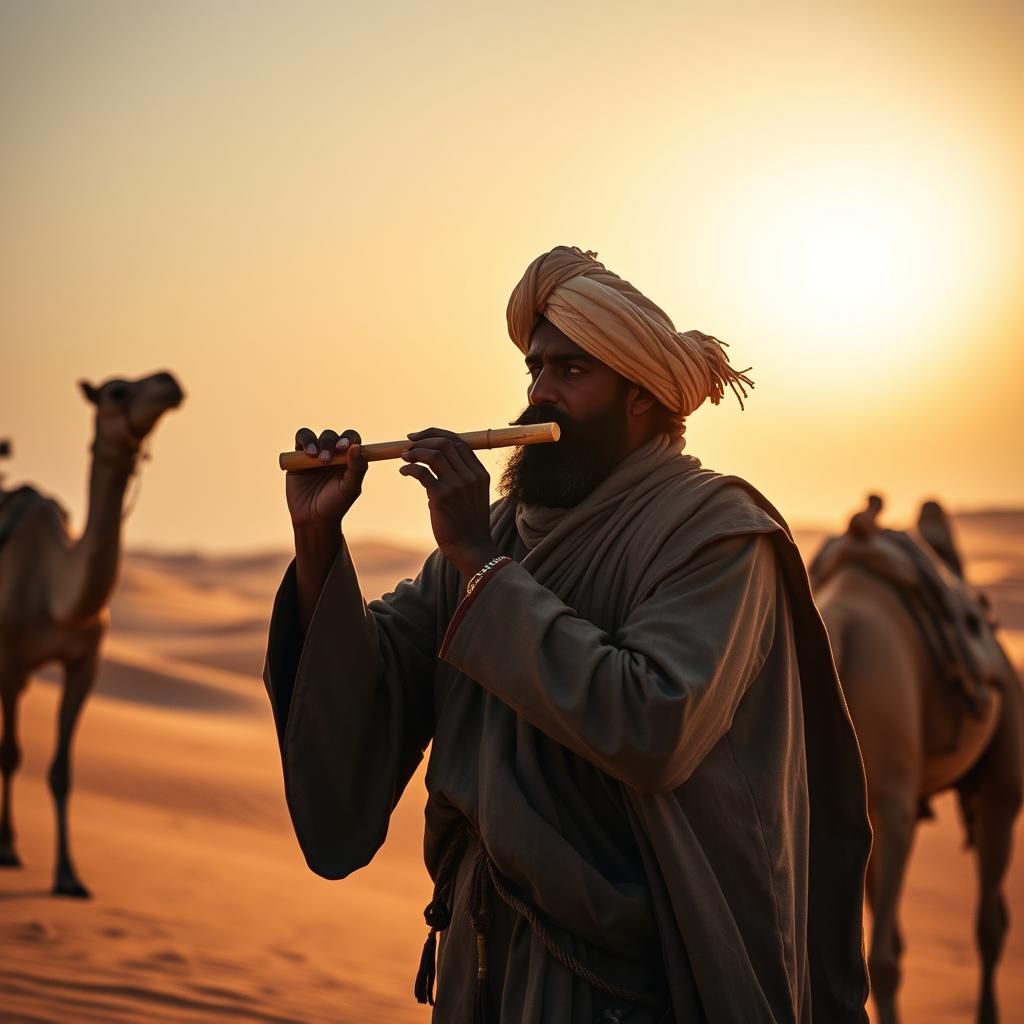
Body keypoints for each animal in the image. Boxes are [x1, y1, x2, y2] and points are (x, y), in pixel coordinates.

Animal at [0, 371, 184, 897]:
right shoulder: (9, 660)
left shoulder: (85, 662)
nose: (169, 381)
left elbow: (62, 771)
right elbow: (11, 754)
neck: (57, 596)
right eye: (116, 391)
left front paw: (68, 875)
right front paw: (9, 848)